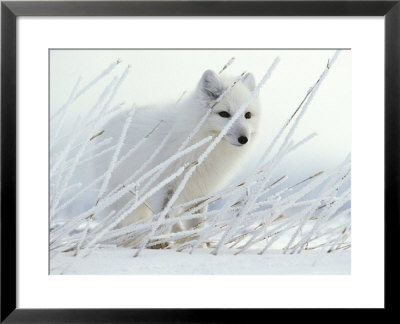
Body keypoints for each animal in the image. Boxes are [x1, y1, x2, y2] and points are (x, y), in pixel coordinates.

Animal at [95, 69, 260, 243]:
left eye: (248, 115)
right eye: (224, 114)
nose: (244, 139)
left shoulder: (200, 192)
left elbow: (196, 225)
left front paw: (196, 244)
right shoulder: (165, 188)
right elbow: (162, 223)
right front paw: (161, 243)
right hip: (121, 203)